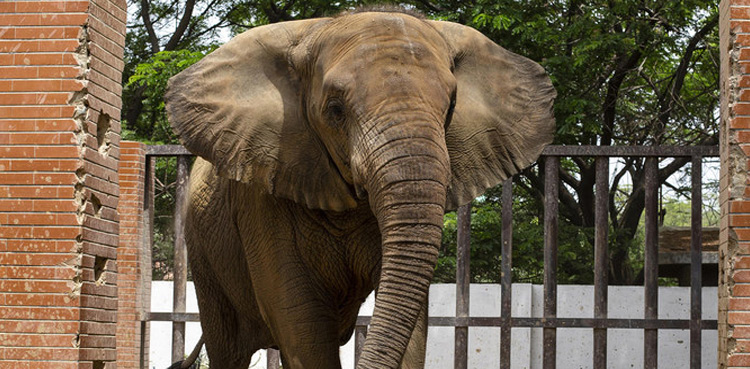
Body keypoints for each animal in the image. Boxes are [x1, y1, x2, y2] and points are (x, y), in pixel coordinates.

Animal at [163, 5, 552, 368]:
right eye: (335, 110)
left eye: (451, 107)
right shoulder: (263, 191)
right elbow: (301, 324)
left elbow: (411, 328)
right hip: (204, 253)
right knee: (229, 349)